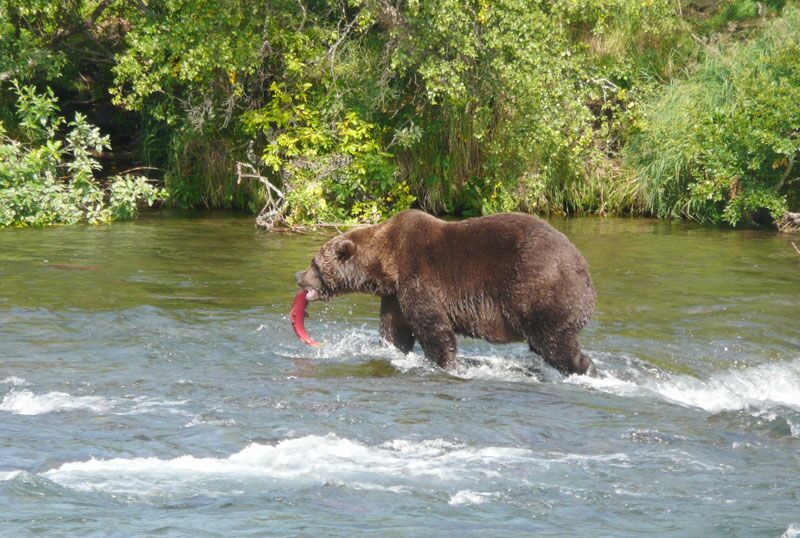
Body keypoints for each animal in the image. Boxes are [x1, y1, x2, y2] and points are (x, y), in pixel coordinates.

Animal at [294, 209, 596, 375]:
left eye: (314, 263)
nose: (297, 276)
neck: (386, 264)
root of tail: (584, 269)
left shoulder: (417, 277)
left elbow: (433, 326)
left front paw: (445, 363)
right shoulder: (394, 296)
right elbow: (394, 330)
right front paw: (391, 348)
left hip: (539, 287)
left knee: (553, 342)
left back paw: (584, 366)